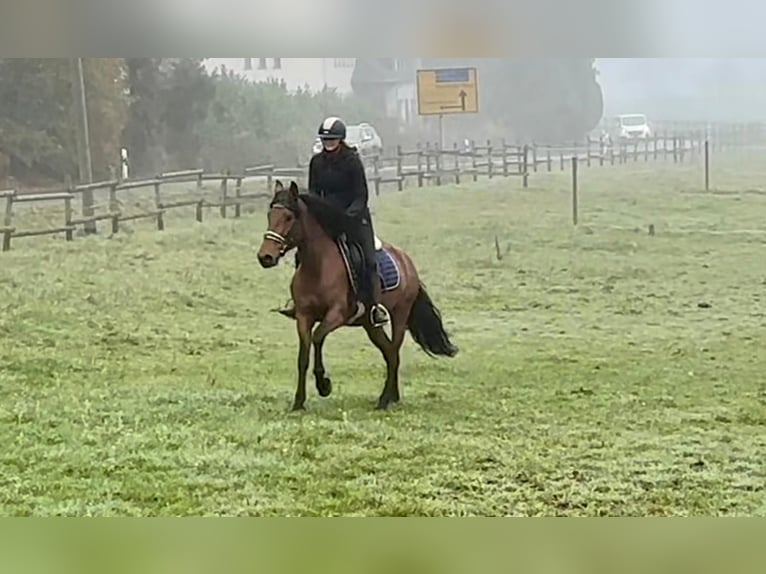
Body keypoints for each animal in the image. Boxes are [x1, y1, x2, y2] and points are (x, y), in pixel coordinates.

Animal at [258, 182, 462, 412]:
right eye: (270, 214)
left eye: (288, 217)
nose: (265, 257)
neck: (318, 267)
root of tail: (407, 262)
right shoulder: (303, 316)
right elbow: (303, 356)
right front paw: (298, 402)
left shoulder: (337, 314)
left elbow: (318, 337)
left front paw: (323, 385)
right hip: (370, 325)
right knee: (389, 352)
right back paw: (392, 396)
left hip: (399, 315)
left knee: (394, 351)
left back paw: (384, 400)